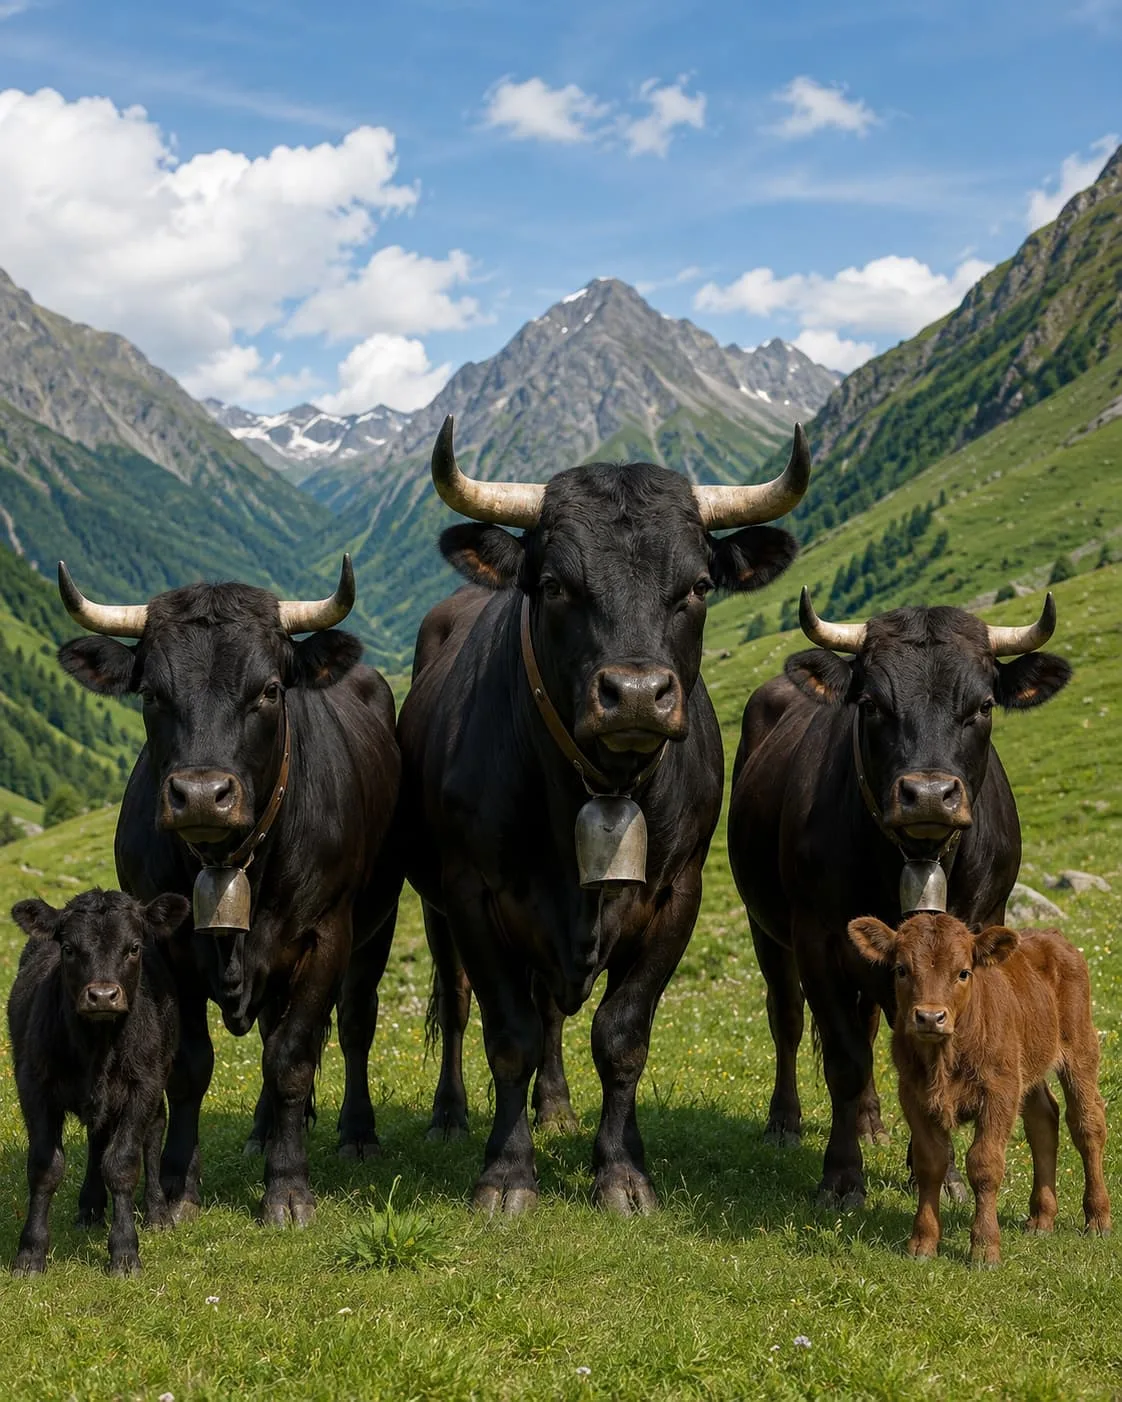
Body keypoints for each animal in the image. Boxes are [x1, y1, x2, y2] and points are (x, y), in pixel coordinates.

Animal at [7, 888, 189, 1276]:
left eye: (133, 947)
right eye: (68, 948)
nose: (103, 995)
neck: (97, 1046)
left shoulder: (143, 1086)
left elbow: (121, 1164)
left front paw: (124, 1251)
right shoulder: (33, 1086)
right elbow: (45, 1166)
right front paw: (30, 1253)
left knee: (153, 1133)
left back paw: (158, 1212)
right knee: (97, 1139)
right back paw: (90, 1208)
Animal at [55, 559, 402, 1227]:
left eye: (268, 690)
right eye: (150, 693)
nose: (200, 795)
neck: (230, 862)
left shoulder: (327, 935)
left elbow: (293, 1058)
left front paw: (288, 1188)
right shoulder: (164, 952)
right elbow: (191, 1066)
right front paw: (177, 1187)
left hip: (380, 924)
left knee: (353, 1024)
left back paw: (357, 1133)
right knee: (268, 1028)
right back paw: (264, 1131)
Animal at [398, 415, 809, 1214]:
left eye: (698, 585)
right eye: (556, 585)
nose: (638, 694)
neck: (601, 784)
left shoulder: (677, 894)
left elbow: (621, 1035)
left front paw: (621, 1171)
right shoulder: (472, 894)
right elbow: (508, 1032)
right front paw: (506, 1174)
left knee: (556, 1011)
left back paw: (555, 1106)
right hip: (434, 907)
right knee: (461, 1007)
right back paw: (450, 1115)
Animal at [728, 591, 1071, 1206]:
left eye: (984, 704)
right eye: (871, 703)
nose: (929, 794)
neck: (918, 856)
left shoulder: (977, 934)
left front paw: (942, 1174)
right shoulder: (818, 940)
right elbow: (843, 1059)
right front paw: (842, 1176)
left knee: (867, 1024)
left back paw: (872, 1122)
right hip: (765, 926)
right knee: (787, 1018)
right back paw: (785, 1123)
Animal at [848, 911, 1111, 1265]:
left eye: (963, 972)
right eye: (901, 969)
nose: (930, 1017)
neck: (945, 1057)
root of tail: (1051, 936)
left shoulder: (999, 1092)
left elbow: (984, 1165)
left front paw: (985, 1248)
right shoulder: (912, 1095)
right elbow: (930, 1163)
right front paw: (923, 1243)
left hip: (1080, 1050)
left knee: (1087, 1124)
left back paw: (1097, 1219)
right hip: (1026, 1067)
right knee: (1043, 1121)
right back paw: (1041, 1218)